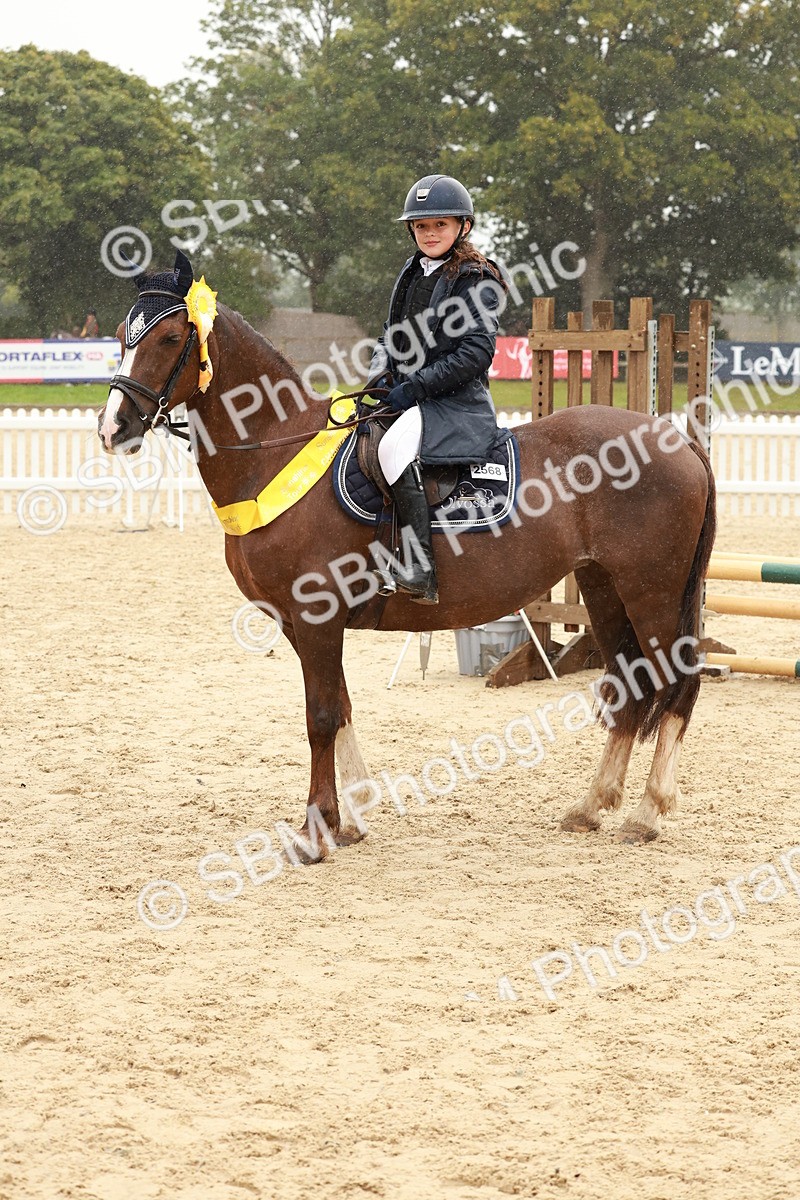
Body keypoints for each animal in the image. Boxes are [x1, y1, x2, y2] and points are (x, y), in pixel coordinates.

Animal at [98, 252, 716, 852]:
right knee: (630, 686)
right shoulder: (299, 625)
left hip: (651, 592)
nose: (113, 428)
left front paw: (317, 830)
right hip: (604, 589)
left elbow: (320, 718)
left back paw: (647, 813)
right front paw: (351, 820)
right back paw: (591, 807)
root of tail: (676, 439)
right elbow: (342, 707)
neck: (276, 452)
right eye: (124, 335)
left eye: (169, 339)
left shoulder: (316, 618)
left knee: (675, 683)